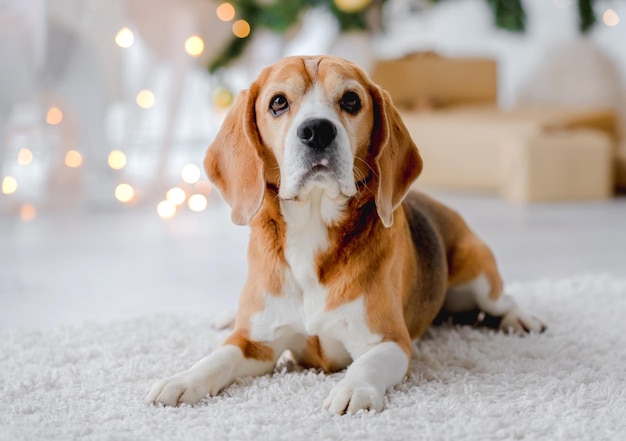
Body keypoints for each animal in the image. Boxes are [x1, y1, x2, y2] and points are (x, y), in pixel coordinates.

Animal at [146, 55, 540, 412]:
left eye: (351, 100)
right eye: (278, 102)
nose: (317, 130)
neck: (310, 231)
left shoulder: (388, 341)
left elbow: (367, 365)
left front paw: (354, 390)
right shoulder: (256, 344)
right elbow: (217, 358)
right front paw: (182, 380)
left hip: (479, 279)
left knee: (503, 300)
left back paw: (521, 319)